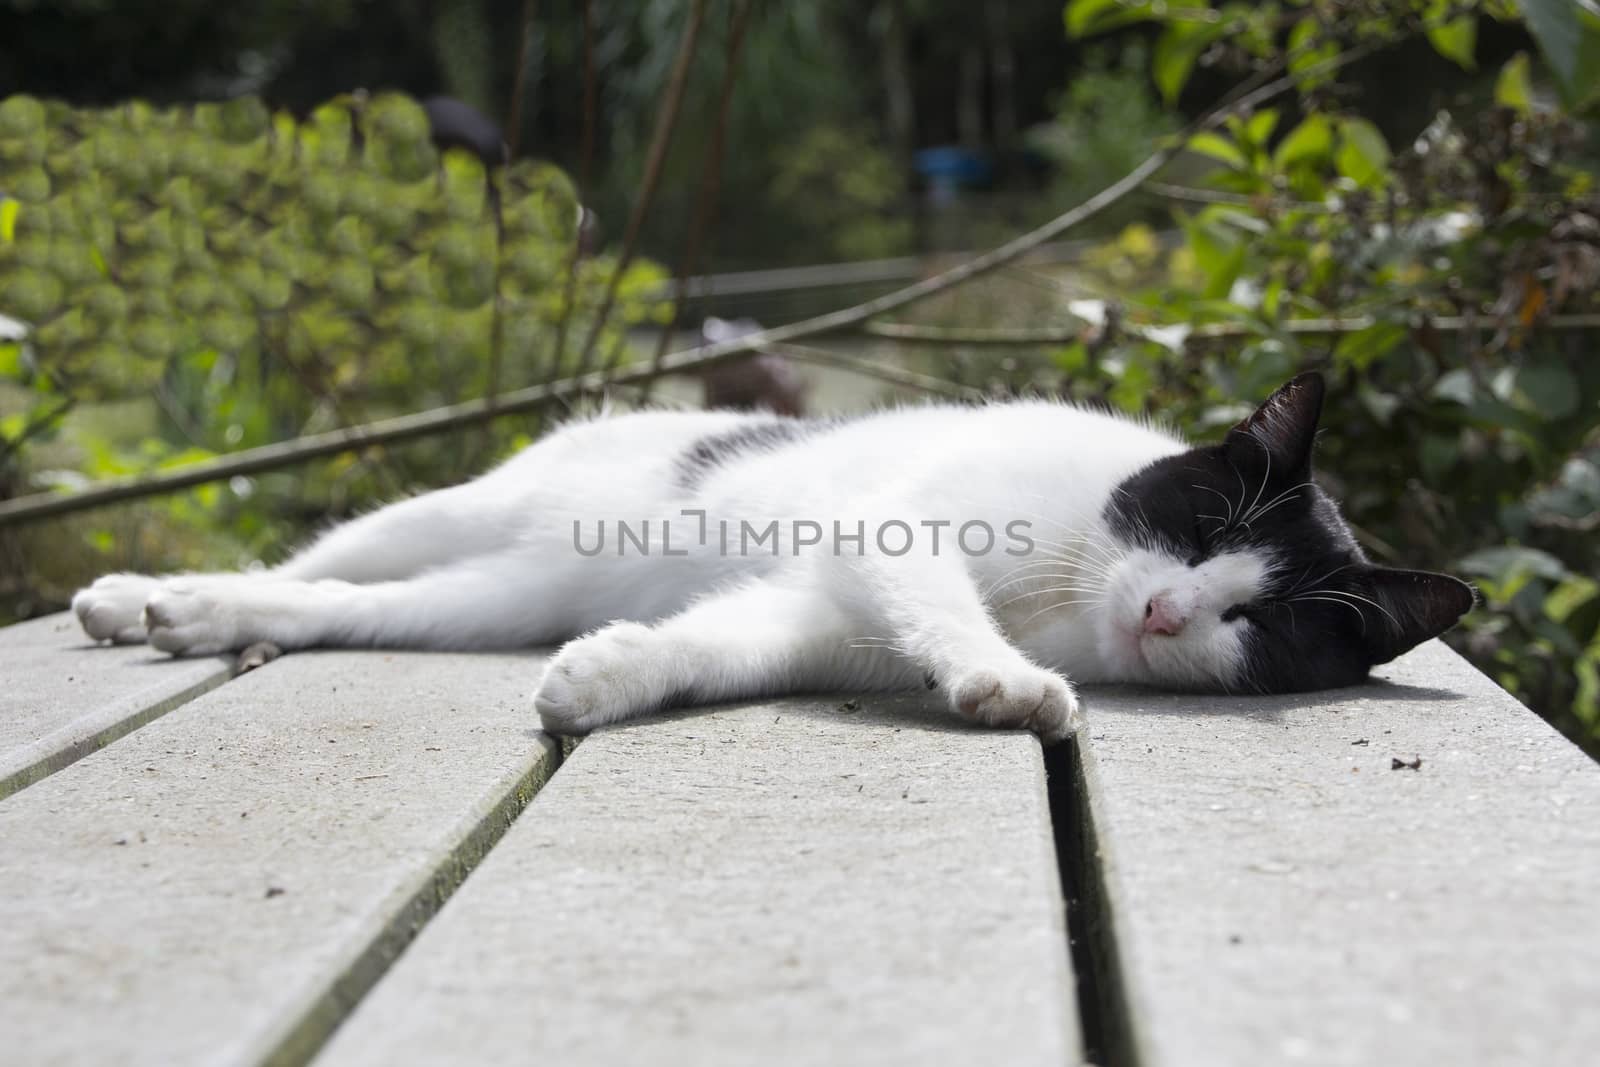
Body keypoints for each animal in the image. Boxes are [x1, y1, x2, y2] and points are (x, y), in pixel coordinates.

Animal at [75, 374, 1472, 742]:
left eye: (1265, 625)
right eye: (1201, 527)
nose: (1173, 612)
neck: (1064, 587)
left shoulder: (819, 610)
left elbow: (718, 647)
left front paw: (610, 678)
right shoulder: (889, 535)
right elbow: (944, 601)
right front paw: (1003, 681)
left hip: (489, 595)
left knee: (349, 606)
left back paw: (193, 618)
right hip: (448, 511)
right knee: (318, 556)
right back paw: (146, 595)